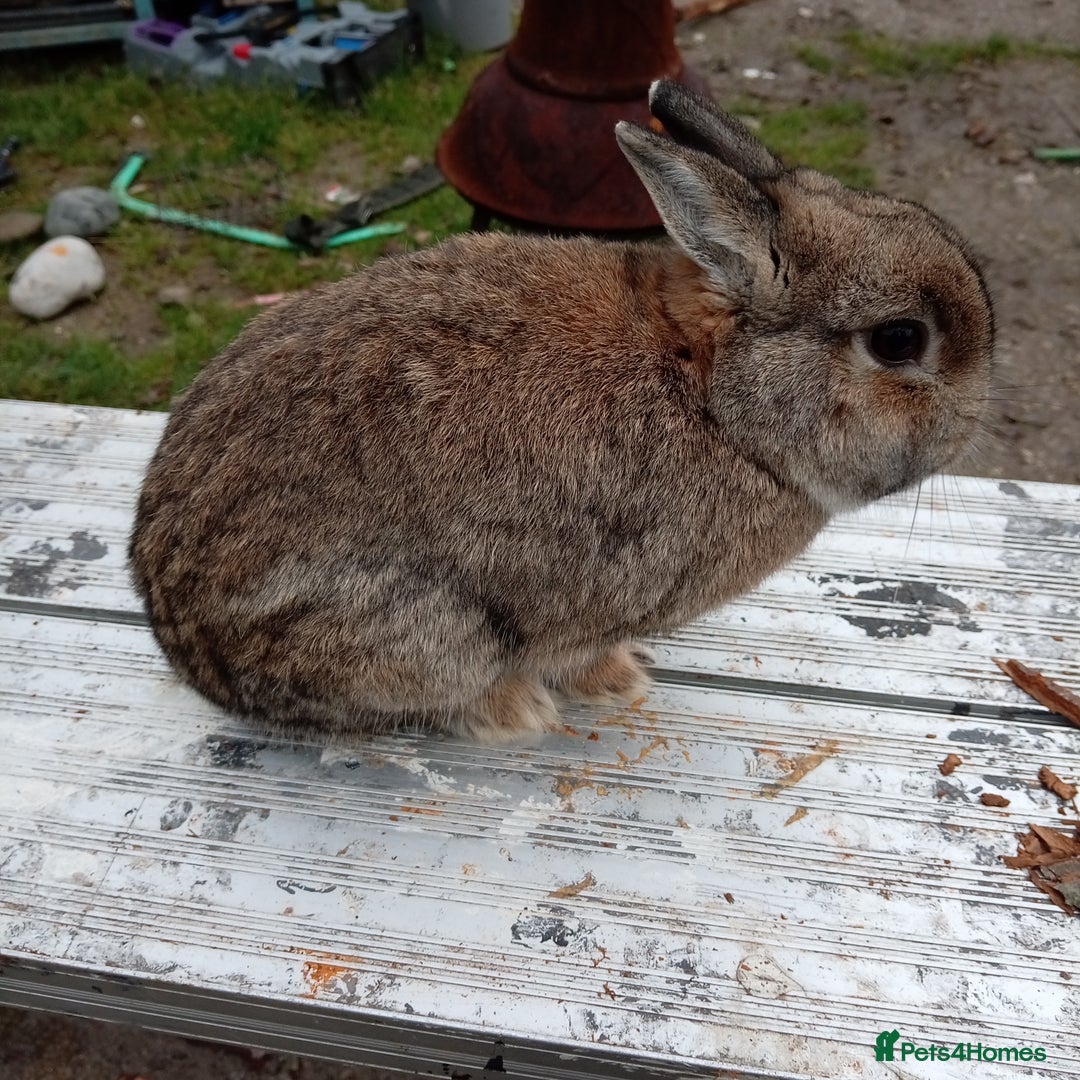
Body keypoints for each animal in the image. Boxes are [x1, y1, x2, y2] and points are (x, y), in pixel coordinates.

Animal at [129, 78, 994, 743]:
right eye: (898, 341)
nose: (972, 423)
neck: (716, 398)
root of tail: (188, 649)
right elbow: (578, 652)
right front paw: (621, 682)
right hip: (426, 632)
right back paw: (512, 712)